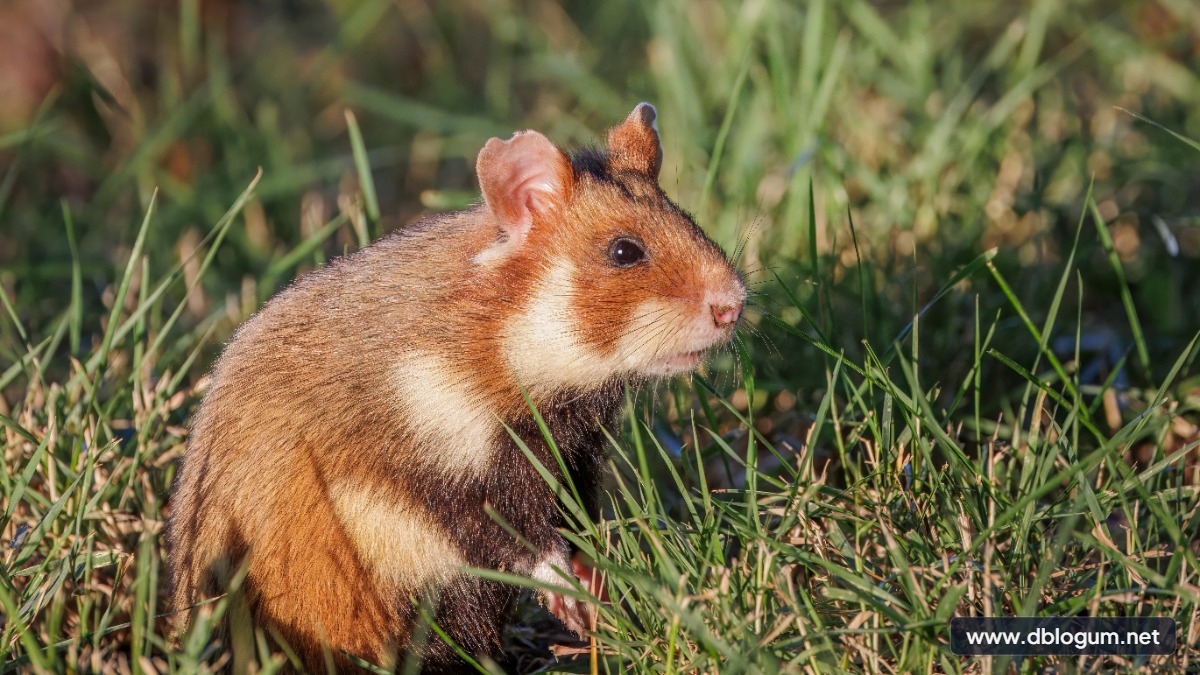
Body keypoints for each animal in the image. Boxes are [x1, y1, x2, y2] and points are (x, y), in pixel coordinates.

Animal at [165, 103, 746, 673]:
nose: (734, 306)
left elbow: (575, 527)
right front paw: (575, 604)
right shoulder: (447, 479)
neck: (505, 342)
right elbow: (527, 542)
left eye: (689, 220)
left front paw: (602, 595)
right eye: (625, 251)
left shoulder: (573, 455)